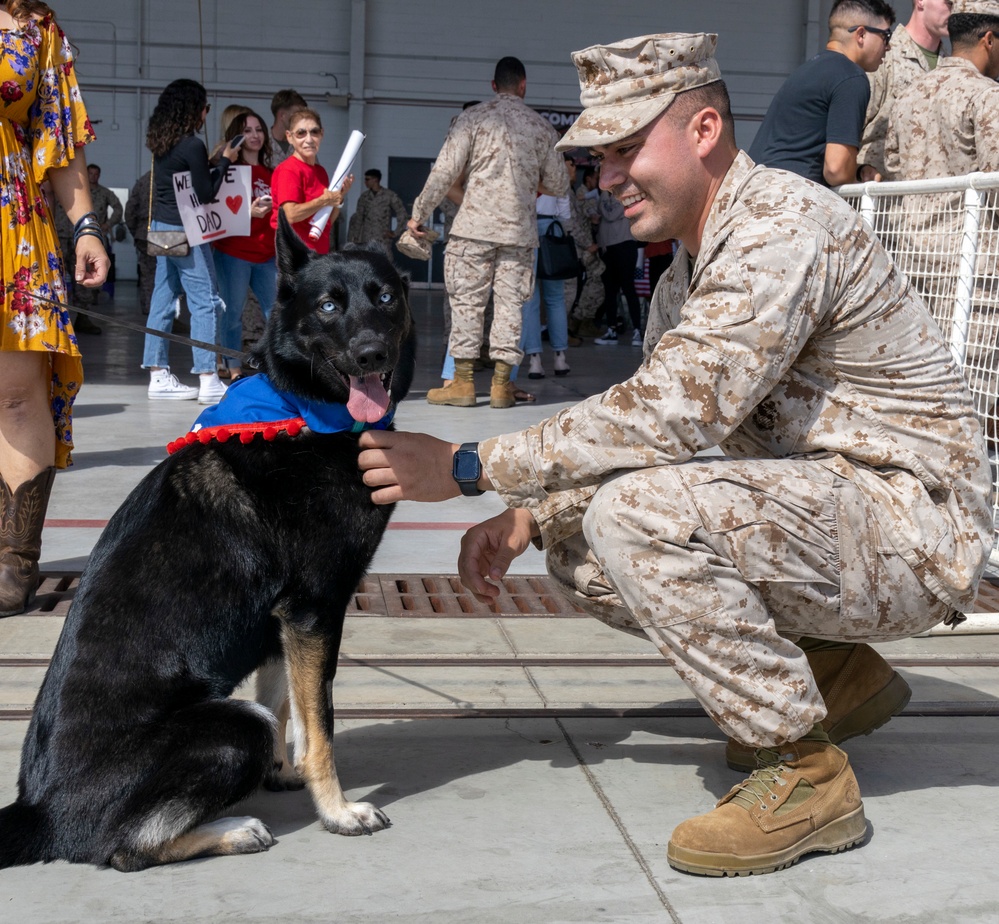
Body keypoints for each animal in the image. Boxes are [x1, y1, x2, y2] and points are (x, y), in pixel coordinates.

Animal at [0, 213, 416, 868]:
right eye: (328, 305)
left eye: (387, 298)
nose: (371, 353)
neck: (297, 405)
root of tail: (40, 812)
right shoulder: (315, 609)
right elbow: (318, 721)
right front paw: (337, 810)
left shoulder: (284, 619)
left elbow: (286, 698)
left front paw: (284, 771)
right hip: (234, 723)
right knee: (122, 849)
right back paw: (233, 829)